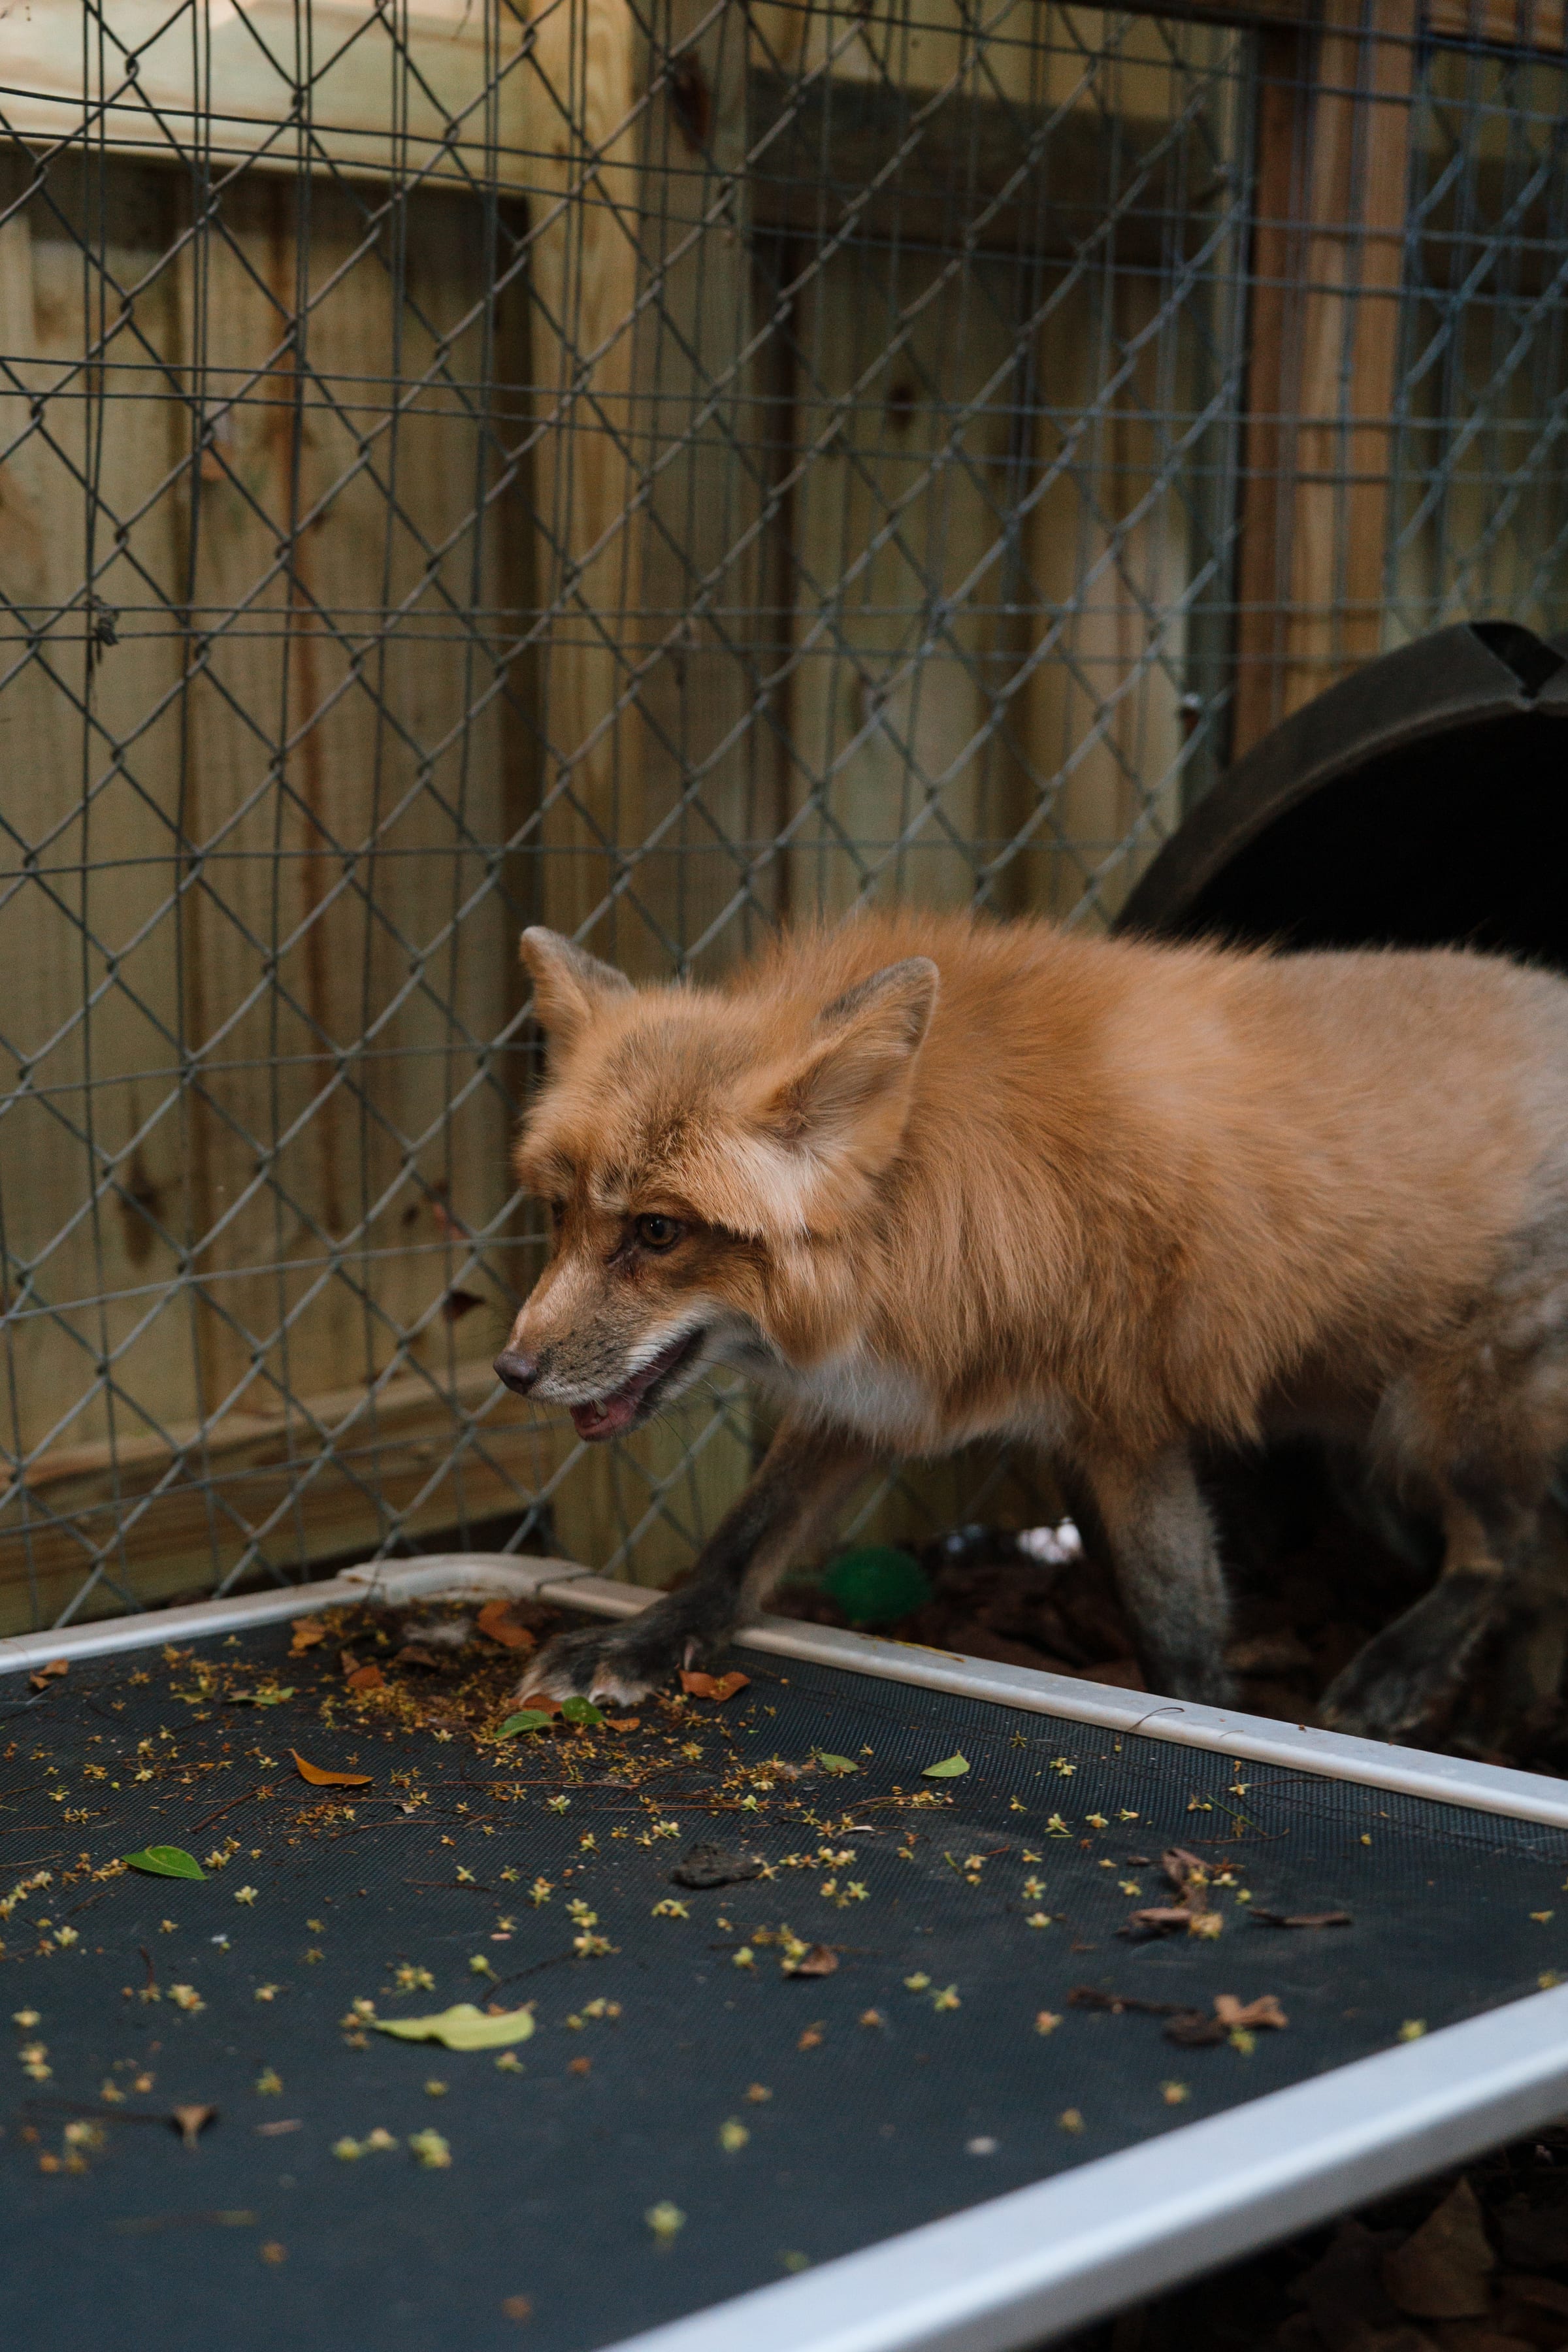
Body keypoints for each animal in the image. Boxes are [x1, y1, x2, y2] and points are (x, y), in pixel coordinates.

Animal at [494, 907, 1568, 1742]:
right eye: (560, 1212)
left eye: (657, 1231)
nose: (511, 1372)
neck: (936, 1201)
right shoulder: (878, 1394)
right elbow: (740, 1544)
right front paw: (648, 1639)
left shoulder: (1129, 1421)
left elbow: (1178, 1630)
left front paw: (1219, 1719)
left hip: (1449, 1415)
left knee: (1506, 1552)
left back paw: (1405, 1671)